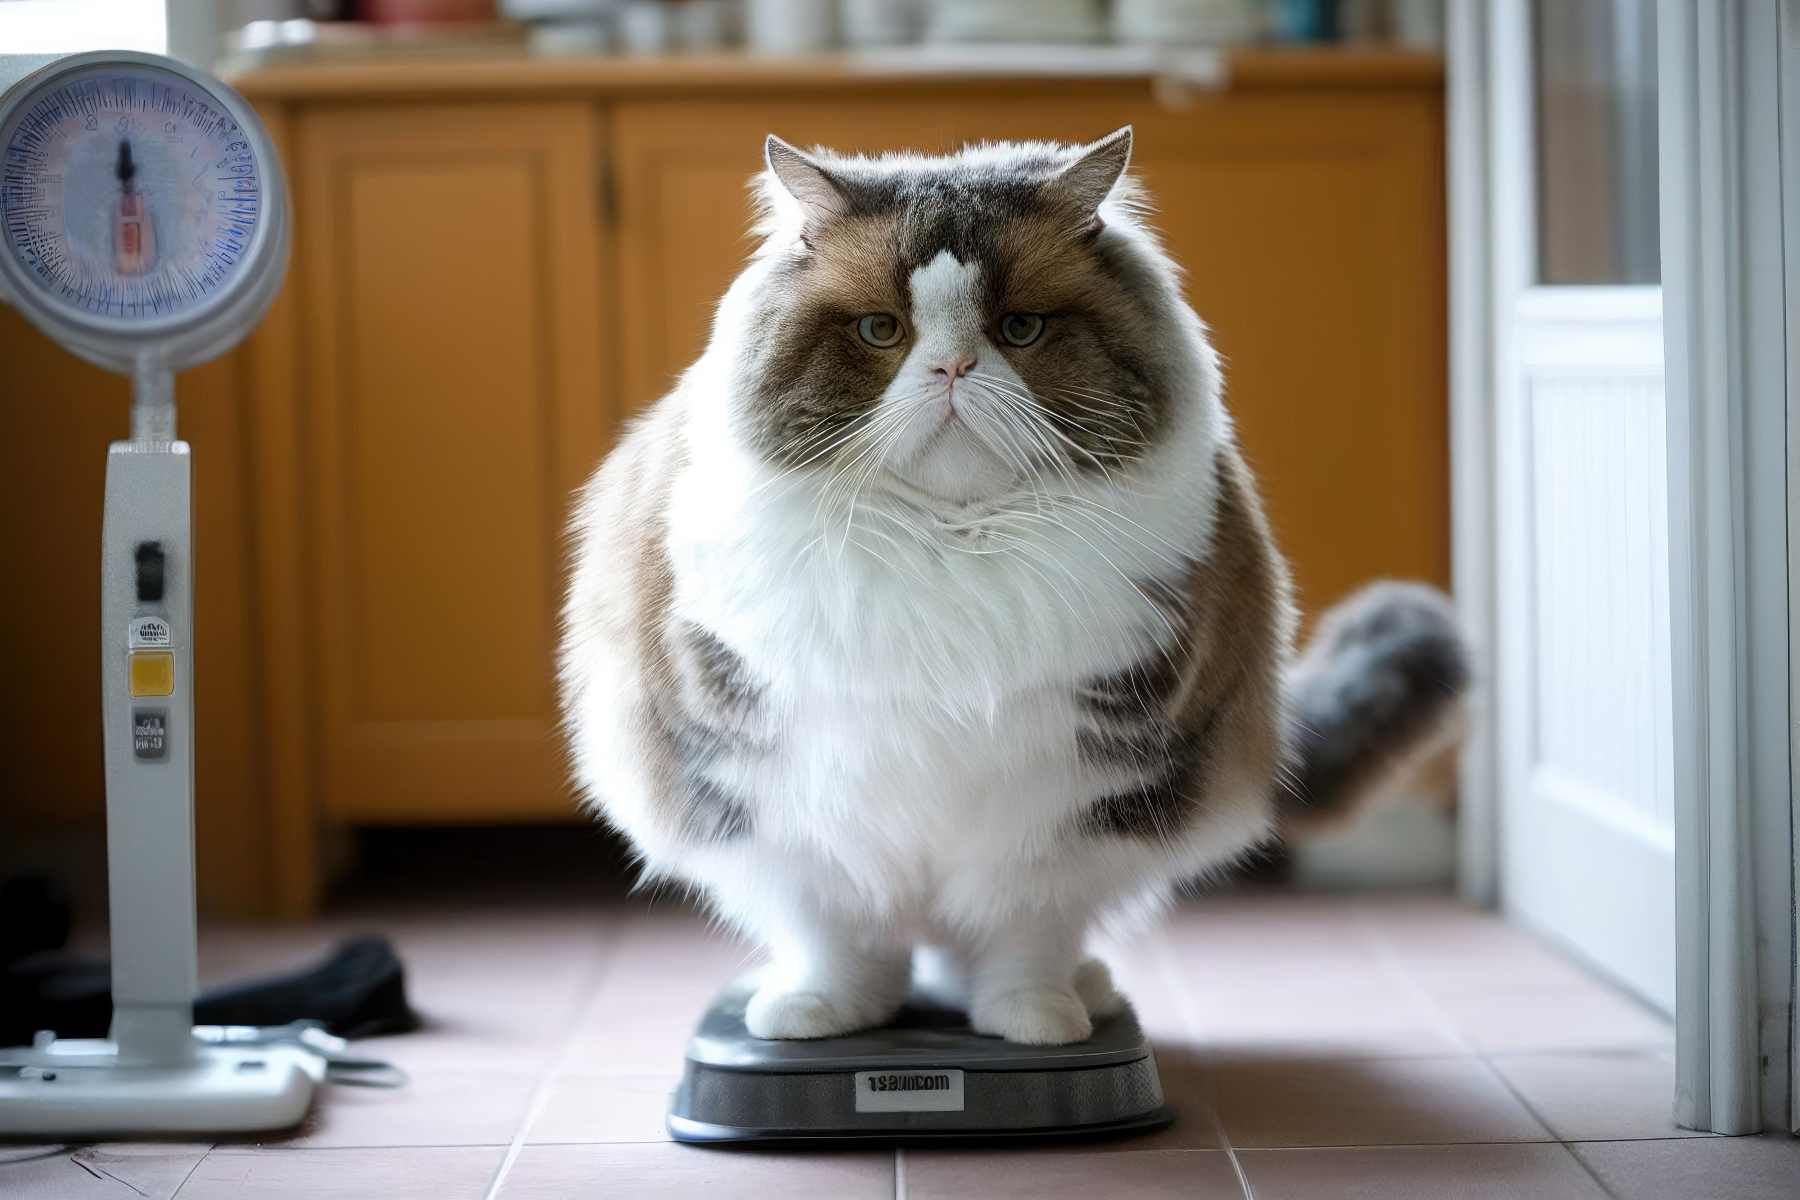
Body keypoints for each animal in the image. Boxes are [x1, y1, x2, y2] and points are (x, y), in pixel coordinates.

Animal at [558, 129, 1461, 1043]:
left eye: (1019, 328)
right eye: (882, 329)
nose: (953, 367)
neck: (954, 546)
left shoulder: (1073, 802)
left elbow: (1025, 931)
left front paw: (1035, 1019)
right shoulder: (773, 794)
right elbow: (839, 935)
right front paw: (822, 1011)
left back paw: (1080, 994)